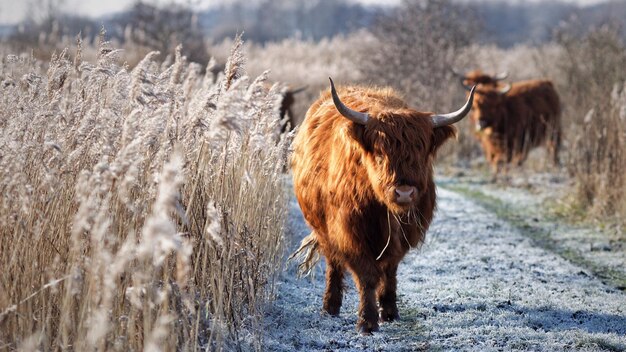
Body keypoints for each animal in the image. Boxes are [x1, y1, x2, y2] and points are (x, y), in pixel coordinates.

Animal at [290, 78, 476, 334]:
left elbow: (390, 270)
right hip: (323, 228)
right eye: (380, 153)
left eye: (421, 152)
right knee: (333, 262)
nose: (404, 192)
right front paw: (367, 321)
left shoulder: (404, 235)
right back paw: (330, 306)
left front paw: (389, 311)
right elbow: (367, 275)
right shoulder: (352, 233)